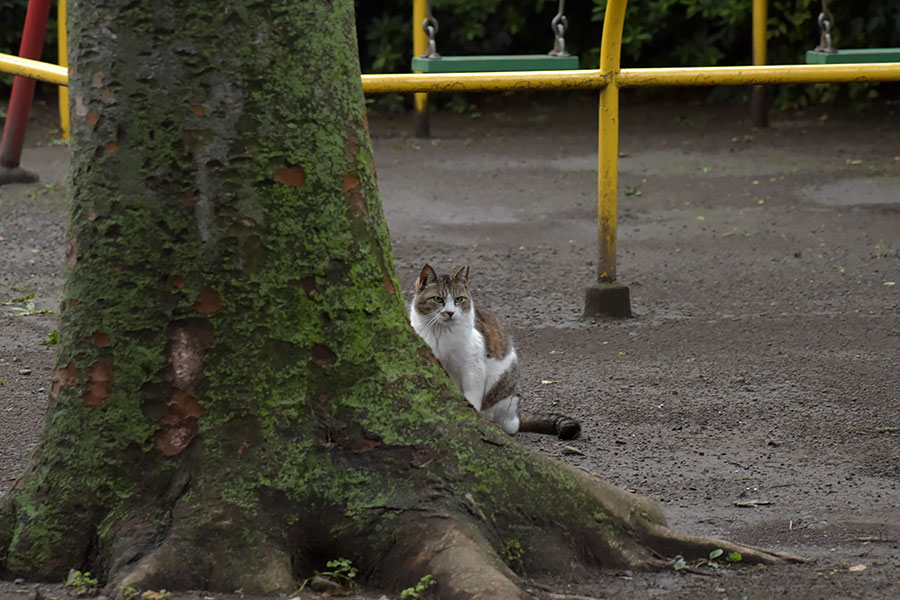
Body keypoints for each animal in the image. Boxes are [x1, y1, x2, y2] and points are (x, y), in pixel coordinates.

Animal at [410, 264, 580, 440]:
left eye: (459, 299)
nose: (450, 312)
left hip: (503, 389)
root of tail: (517, 415)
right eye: (438, 299)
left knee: (509, 424)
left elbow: (472, 398)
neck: (440, 333)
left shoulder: (474, 367)